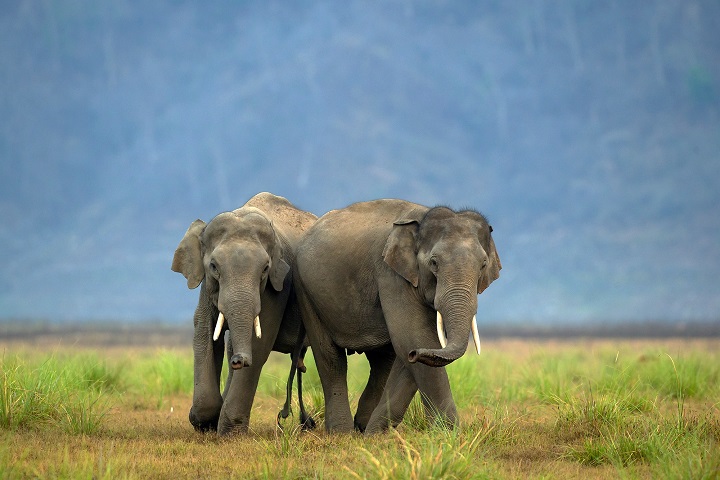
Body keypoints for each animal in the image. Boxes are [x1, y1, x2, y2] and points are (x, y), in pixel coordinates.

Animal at [171, 192, 317, 435]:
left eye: (265, 269)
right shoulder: (207, 286)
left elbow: (260, 343)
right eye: (213, 266)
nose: (239, 360)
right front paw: (203, 422)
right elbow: (204, 334)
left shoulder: (277, 287)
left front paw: (229, 434)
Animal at [293, 199, 501, 434]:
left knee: (383, 361)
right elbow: (412, 336)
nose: (414, 354)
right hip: (305, 289)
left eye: (483, 265)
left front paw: (375, 435)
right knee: (330, 358)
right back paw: (341, 433)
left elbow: (409, 347)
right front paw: (447, 434)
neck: (422, 218)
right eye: (434, 263)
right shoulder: (391, 274)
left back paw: (362, 427)